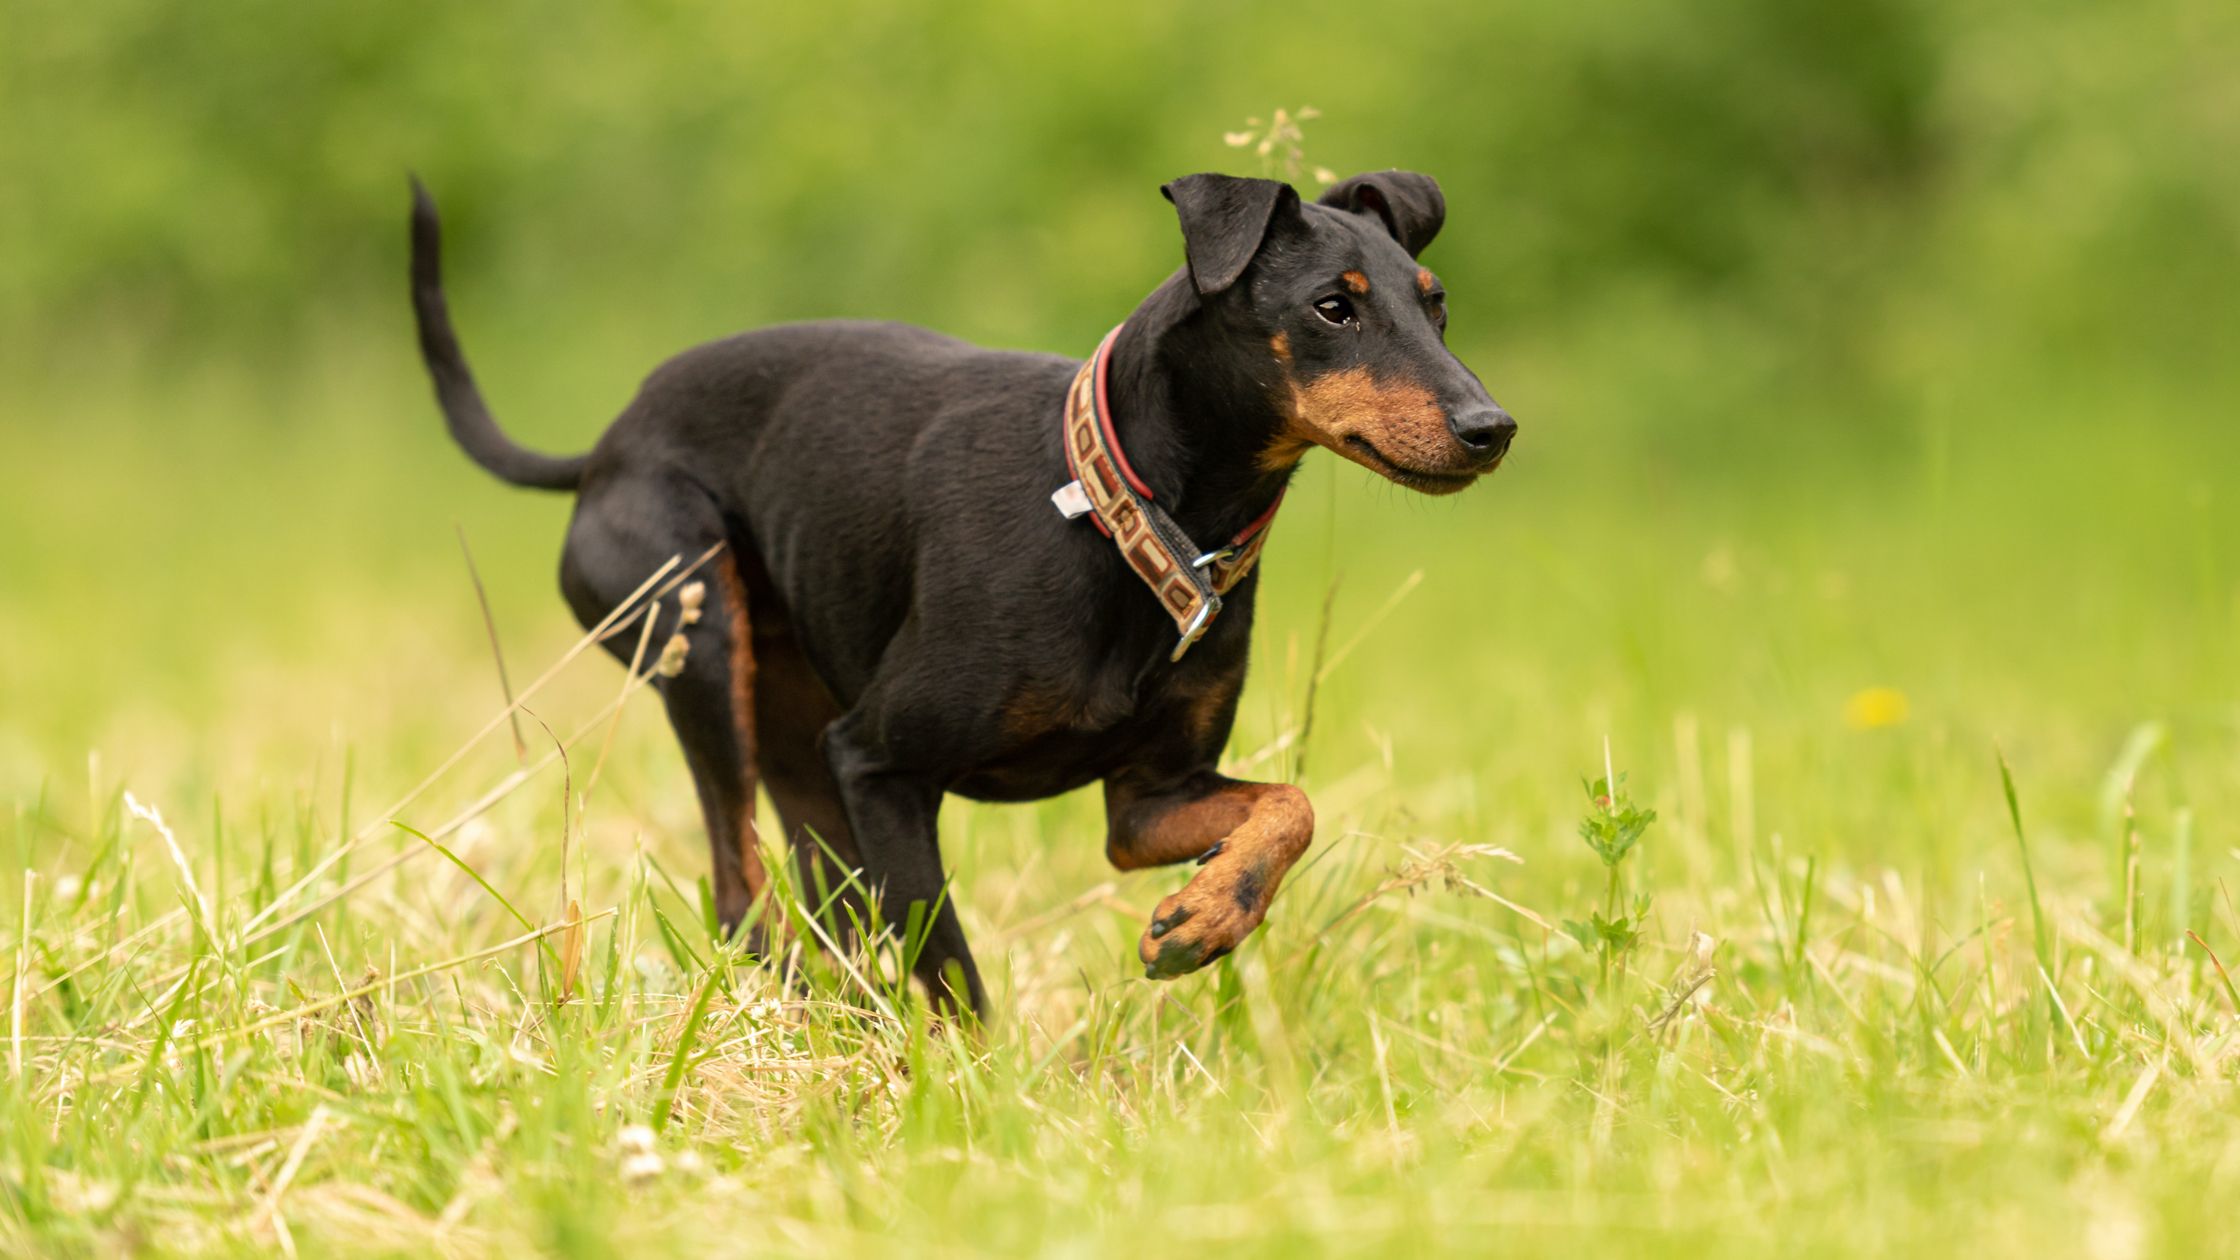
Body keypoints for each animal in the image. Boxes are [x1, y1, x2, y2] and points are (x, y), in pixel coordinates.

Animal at [412, 169, 1514, 1008]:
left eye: (1436, 304)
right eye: (1332, 307)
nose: (1491, 428)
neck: (1126, 518)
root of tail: (605, 446)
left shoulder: (1144, 802)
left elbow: (1291, 805)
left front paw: (1205, 918)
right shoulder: (881, 765)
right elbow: (949, 968)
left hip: (800, 740)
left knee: (821, 906)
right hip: (702, 643)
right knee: (741, 889)